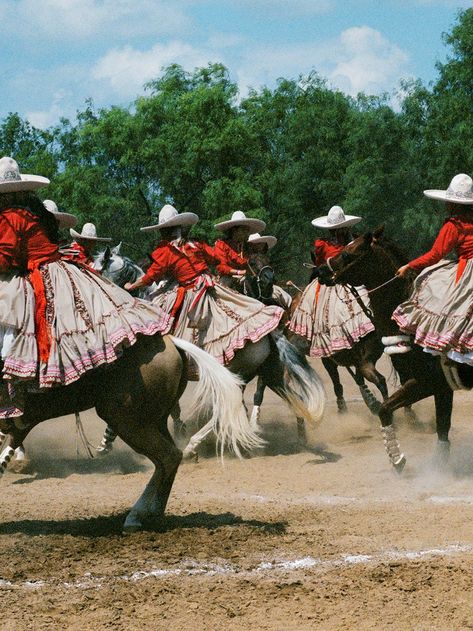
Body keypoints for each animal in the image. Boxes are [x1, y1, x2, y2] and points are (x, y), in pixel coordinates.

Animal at [314, 226, 464, 470]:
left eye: (347, 253)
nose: (320, 271)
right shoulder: (437, 383)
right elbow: (441, 426)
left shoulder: (431, 380)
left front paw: (397, 458)